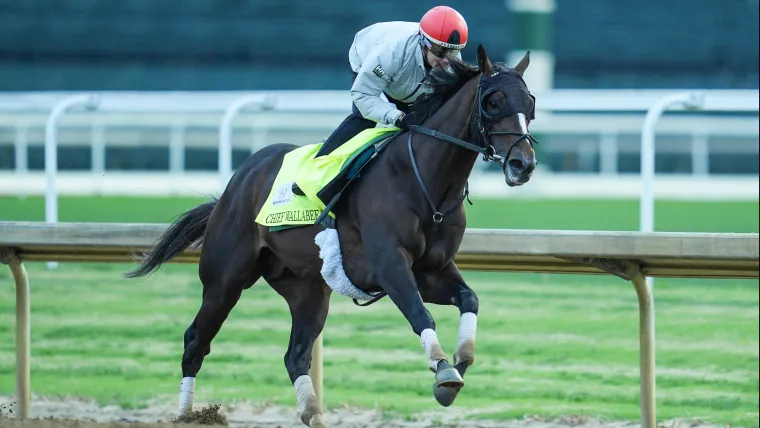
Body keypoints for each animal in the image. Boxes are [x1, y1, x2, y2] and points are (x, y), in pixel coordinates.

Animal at [125, 45, 538, 428]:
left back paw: (313, 415)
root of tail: (238, 181)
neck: (424, 181)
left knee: (296, 355)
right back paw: (186, 415)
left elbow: (470, 299)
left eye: (530, 103)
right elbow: (421, 314)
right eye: (493, 100)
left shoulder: (432, 270)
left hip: (307, 289)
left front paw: (460, 362)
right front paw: (443, 370)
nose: (524, 164)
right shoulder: (390, 265)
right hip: (224, 279)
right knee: (196, 340)